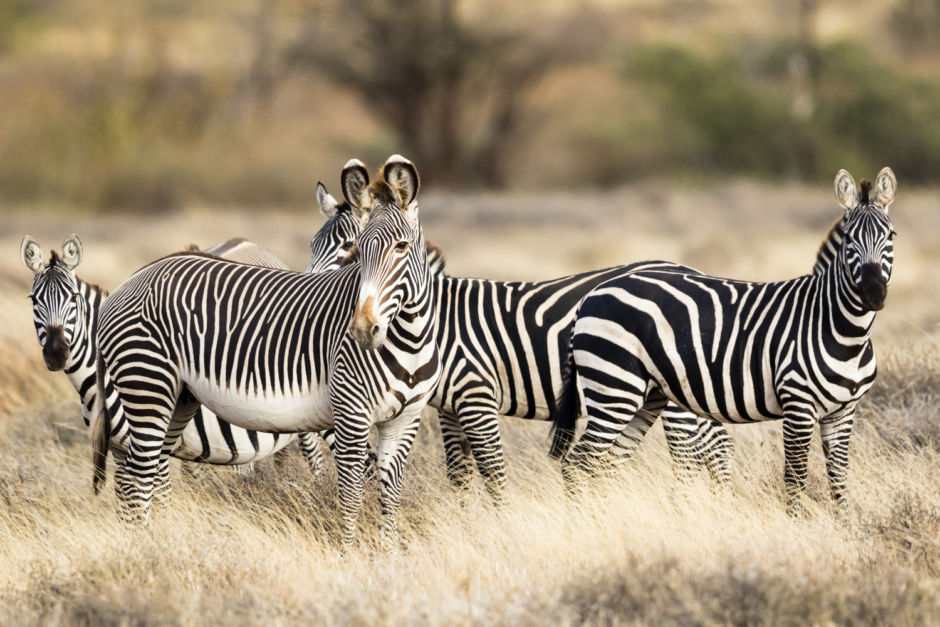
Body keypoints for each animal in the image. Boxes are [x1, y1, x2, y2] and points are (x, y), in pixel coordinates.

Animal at [20, 233, 326, 498]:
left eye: (73, 298)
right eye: (34, 300)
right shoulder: (120, 450)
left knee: (316, 461)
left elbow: (159, 494)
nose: (56, 353)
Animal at [92, 157, 440, 548]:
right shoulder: (351, 413)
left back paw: (158, 540)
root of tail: (130, 280)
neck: (410, 338)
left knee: (143, 473)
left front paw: (388, 552)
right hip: (147, 383)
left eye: (401, 247)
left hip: (178, 396)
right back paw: (142, 546)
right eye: (359, 251)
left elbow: (390, 494)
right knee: (136, 476)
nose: (363, 331)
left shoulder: (405, 420)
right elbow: (351, 494)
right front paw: (349, 554)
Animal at [304, 185, 740, 500]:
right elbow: (459, 476)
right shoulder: (449, 409)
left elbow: (493, 473)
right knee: (717, 448)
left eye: (348, 248)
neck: (437, 322)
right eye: (312, 245)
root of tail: (691, 270)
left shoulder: (475, 393)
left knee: (692, 458)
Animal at [552, 169, 896, 512]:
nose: (874, 293)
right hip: (615, 387)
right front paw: (798, 523)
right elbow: (795, 479)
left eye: (891, 236)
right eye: (849, 239)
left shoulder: (843, 412)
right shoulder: (798, 404)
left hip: (646, 396)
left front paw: (843, 522)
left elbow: (839, 481)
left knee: (605, 463)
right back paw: (584, 521)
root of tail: (592, 295)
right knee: (578, 464)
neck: (844, 332)